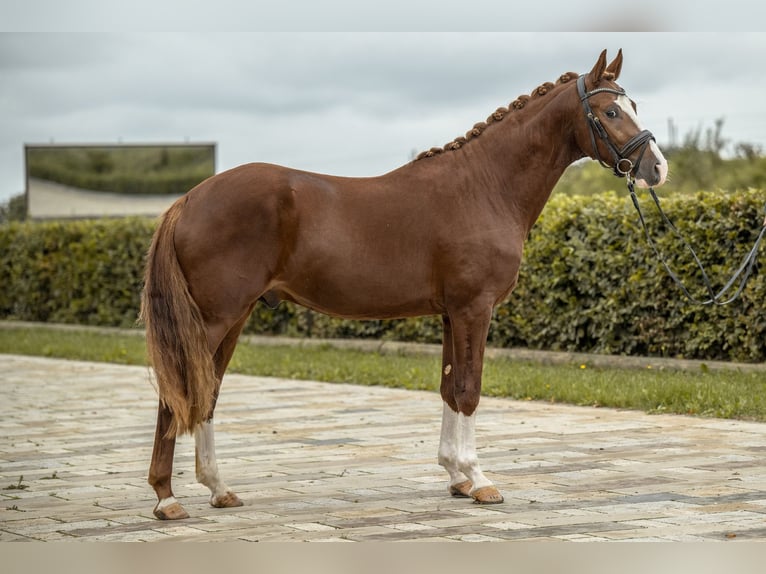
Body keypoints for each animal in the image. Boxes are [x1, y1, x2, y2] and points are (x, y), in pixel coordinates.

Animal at [141, 49, 668, 520]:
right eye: (611, 111)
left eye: (633, 106)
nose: (656, 168)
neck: (484, 186)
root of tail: (188, 199)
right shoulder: (474, 308)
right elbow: (470, 389)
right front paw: (480, 480)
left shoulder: (451, 313)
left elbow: (450, 388)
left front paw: (456, 476)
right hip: (215, 319)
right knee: (177, 395)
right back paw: (167, 499)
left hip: (233, 317)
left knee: (206, 393)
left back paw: (219, 490)